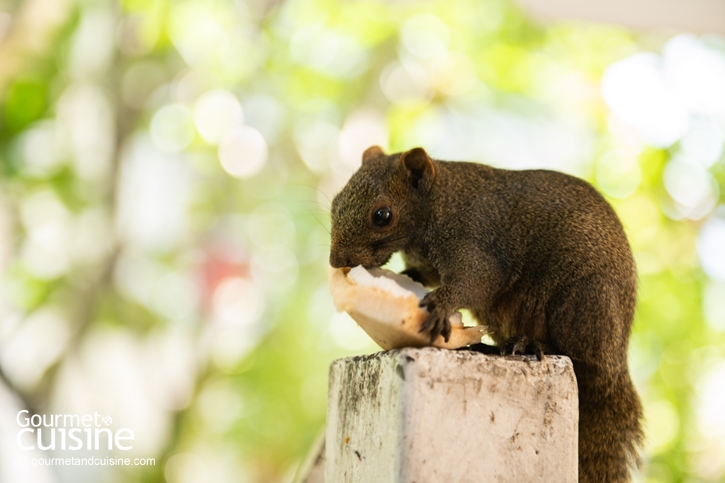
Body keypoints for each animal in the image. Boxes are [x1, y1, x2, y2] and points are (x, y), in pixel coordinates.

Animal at [330, 146, 640, 483]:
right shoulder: (429, 262)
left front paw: (441, 305)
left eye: (382, 216)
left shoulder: (475, 241)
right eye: (335, 203)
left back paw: (532, 344)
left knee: (580, 355)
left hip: (585, 302)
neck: (439, 203)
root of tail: (617, 362)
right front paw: (405, 277)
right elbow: (426, 275)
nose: (336, 261)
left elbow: (477, 281)